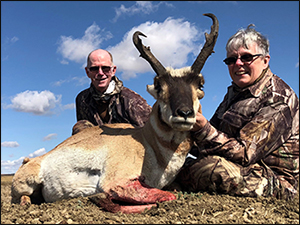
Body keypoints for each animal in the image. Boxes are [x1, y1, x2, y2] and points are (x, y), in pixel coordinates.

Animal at [11, 13, 218, 214]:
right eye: (159, 86)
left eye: (200, 84)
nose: (184, 113)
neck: (147, 142)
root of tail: (30, 160)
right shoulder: (115, 182)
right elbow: (165, 195)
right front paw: (100, 198)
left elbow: (172, 191)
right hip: (26, 184)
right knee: (22, 199)